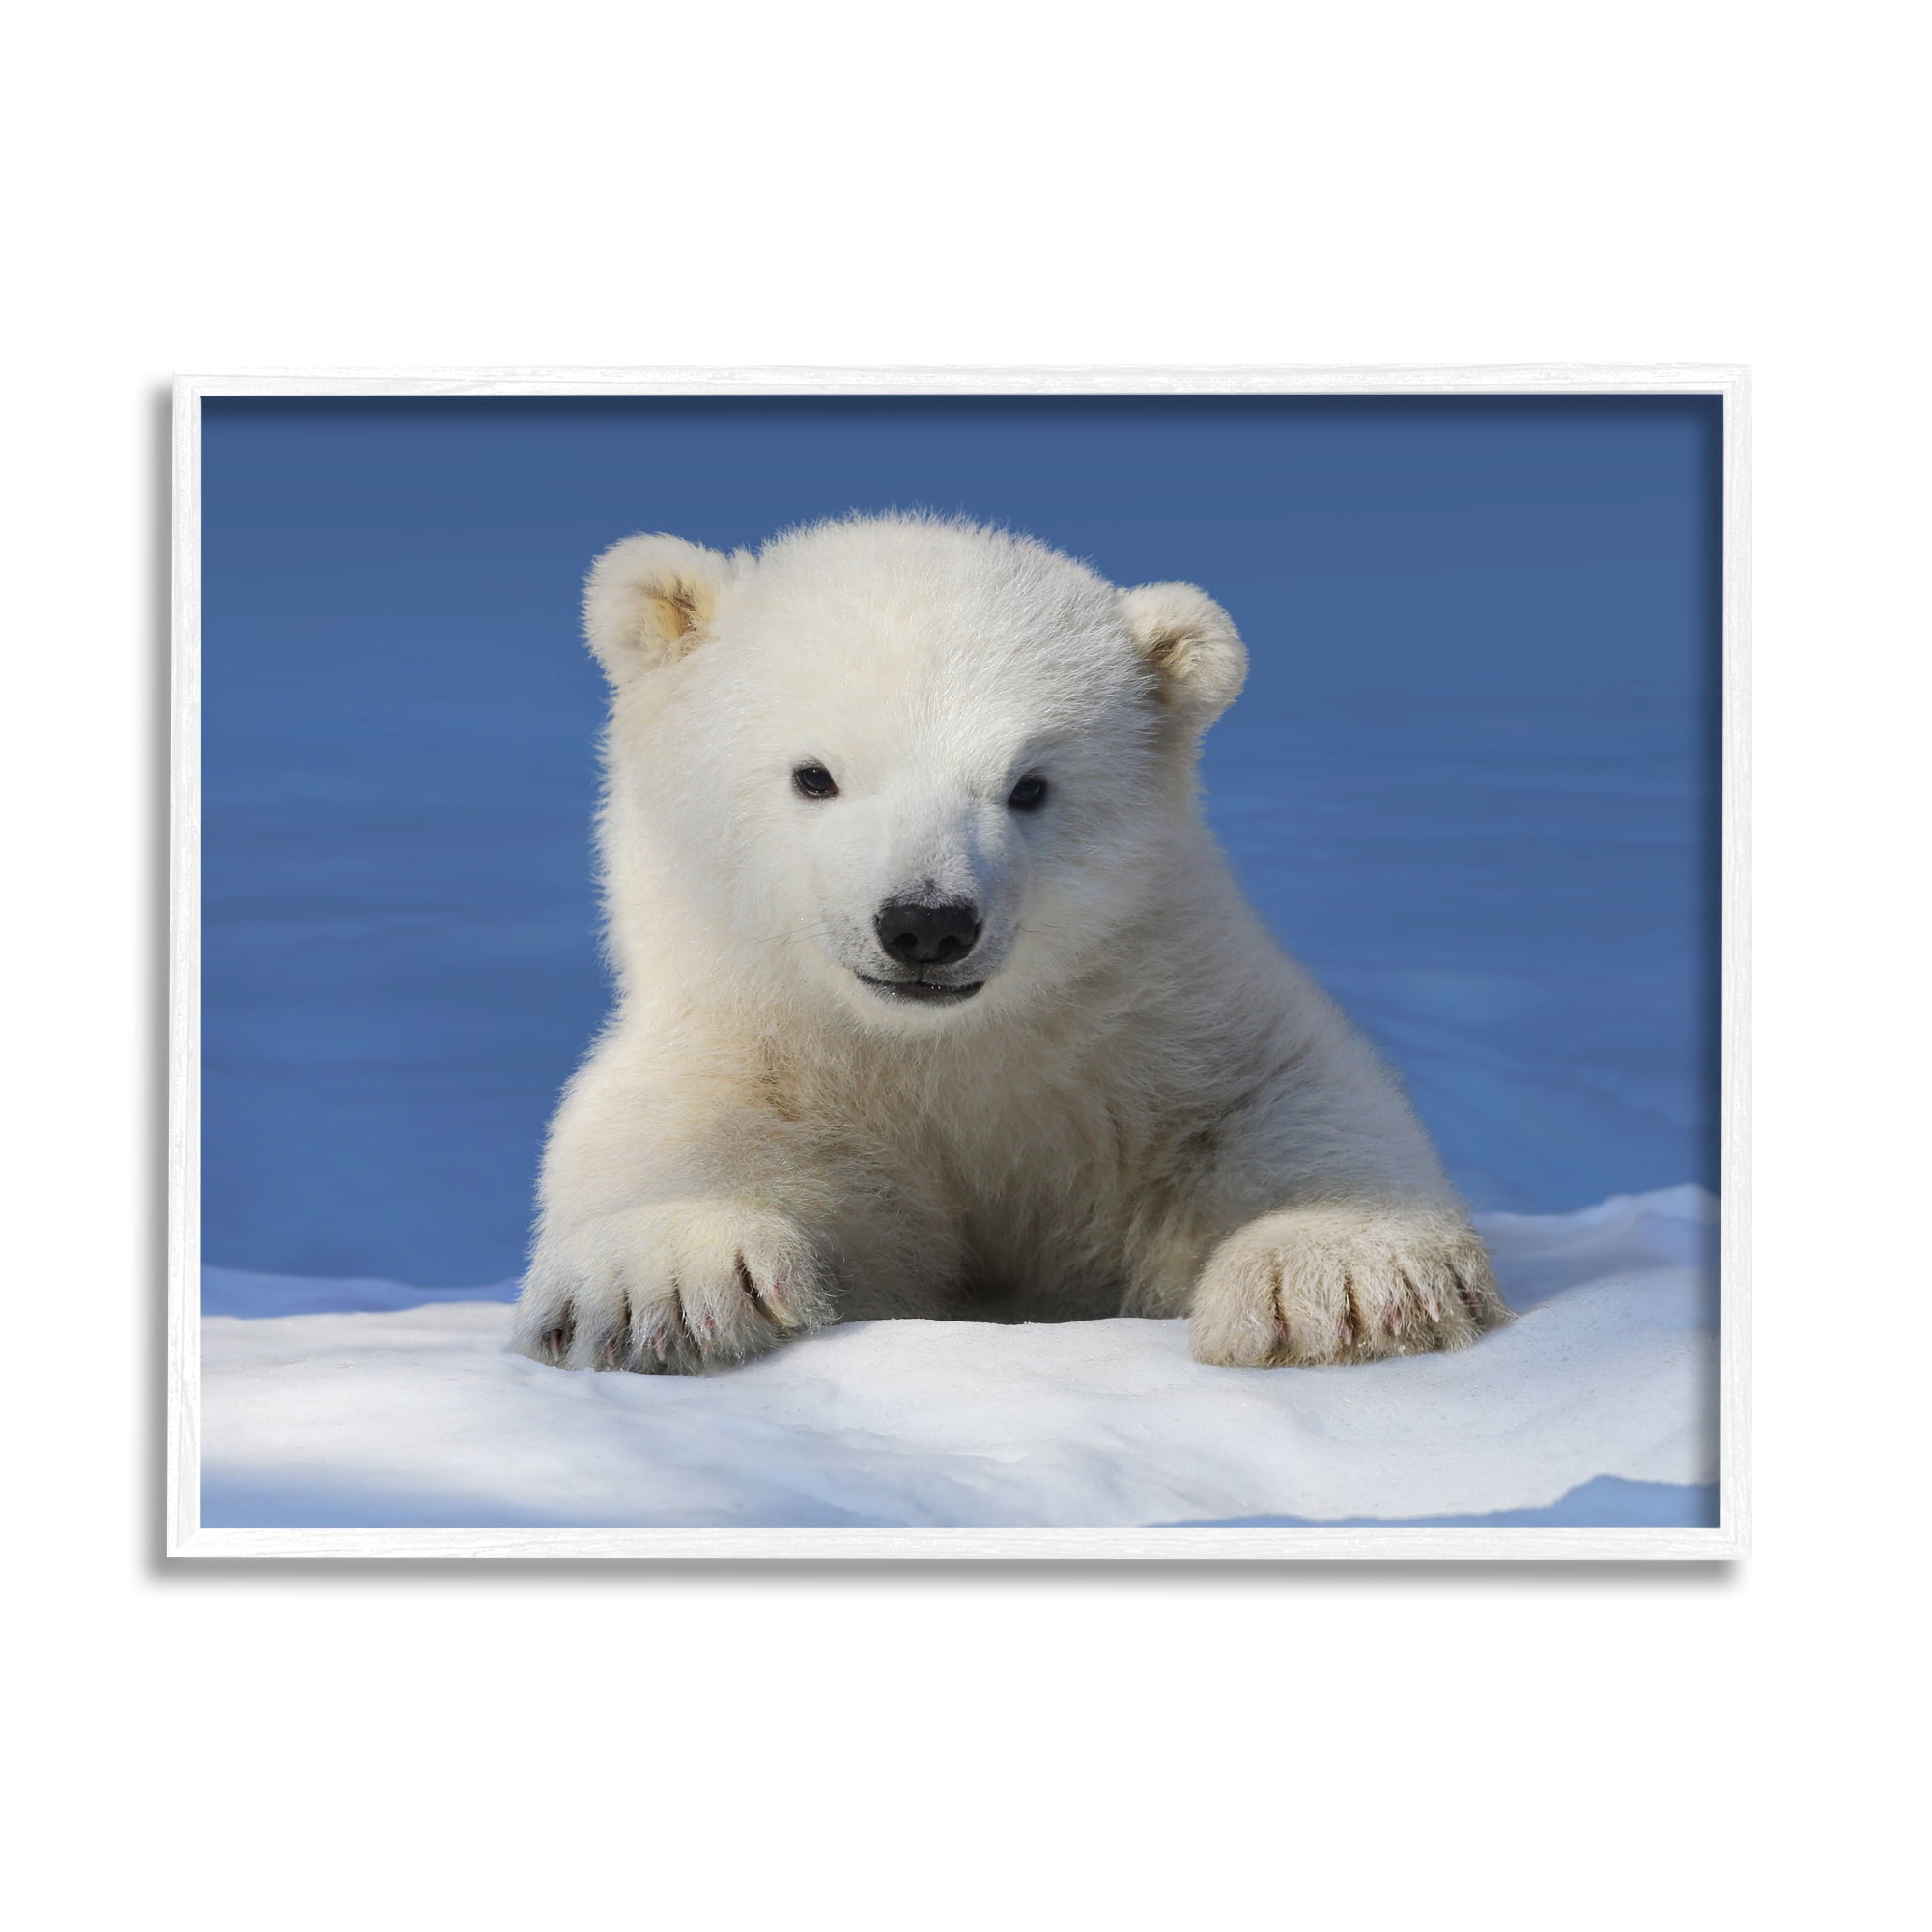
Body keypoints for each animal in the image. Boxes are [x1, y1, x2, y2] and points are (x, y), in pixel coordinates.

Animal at [512, 513, 1509, 1375]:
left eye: (1028, 786)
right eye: (814, 775)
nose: (926, 923)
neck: (942, 1055)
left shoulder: (1157, 1019)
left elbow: (1282, 1094)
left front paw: (1335, 1281)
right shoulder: (754, 1047)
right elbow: (672, 1130)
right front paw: (665, 1288)